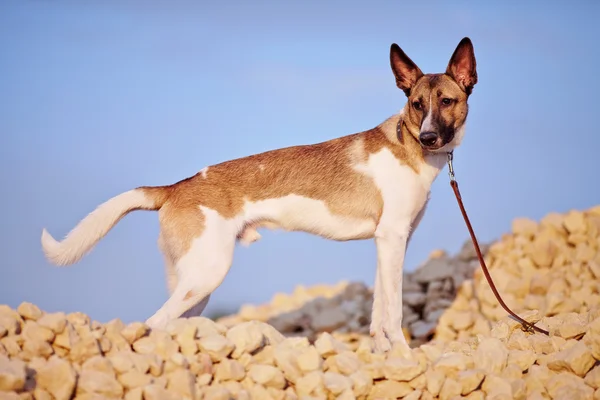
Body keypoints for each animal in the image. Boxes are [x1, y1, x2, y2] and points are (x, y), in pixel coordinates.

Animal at [39, 37, 476, 354]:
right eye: (416, 104)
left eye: (447, 101)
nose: (429, 137)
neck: (408, 147)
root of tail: (177, 186)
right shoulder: (393, 239)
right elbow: (394, 313)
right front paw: (404, 354)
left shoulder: (389, 243)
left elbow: (378, 312)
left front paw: (384, 355)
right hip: (207, 274)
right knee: (152, 323)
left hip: (193, 285)